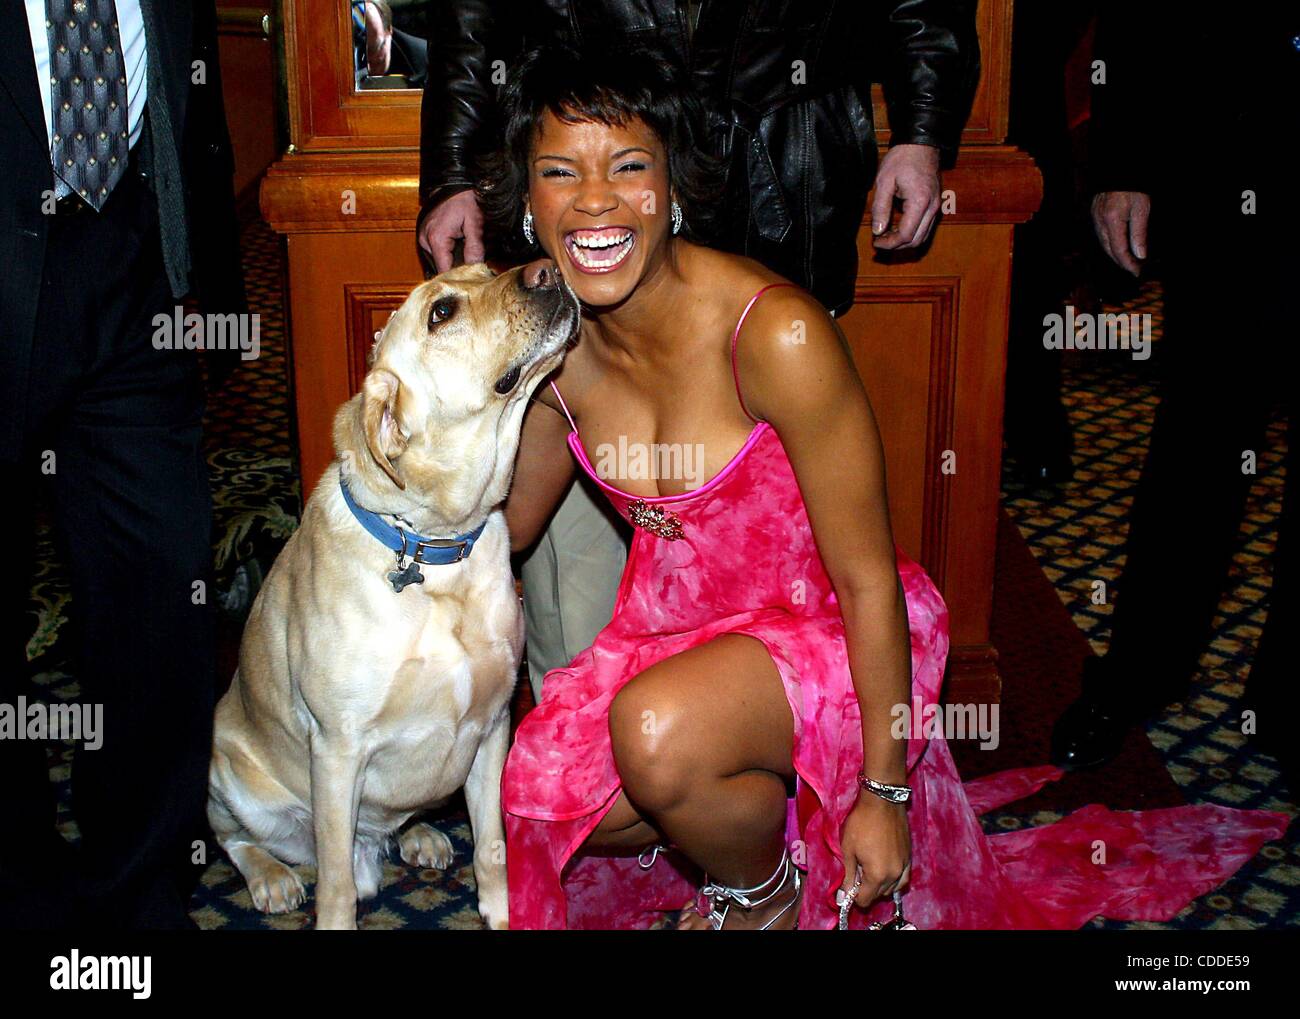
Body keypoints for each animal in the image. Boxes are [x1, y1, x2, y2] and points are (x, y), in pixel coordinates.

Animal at [206, 262, 574, 930]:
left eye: (485, 270)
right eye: (441, 312)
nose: (548, 268)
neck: (435, 553)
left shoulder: (492, 726)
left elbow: (493, 847)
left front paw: (504, 910)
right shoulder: (337, 748)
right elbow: (335, 887)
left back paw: (419, 836)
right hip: (229, 774)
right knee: (239, 839)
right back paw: (272, 879)